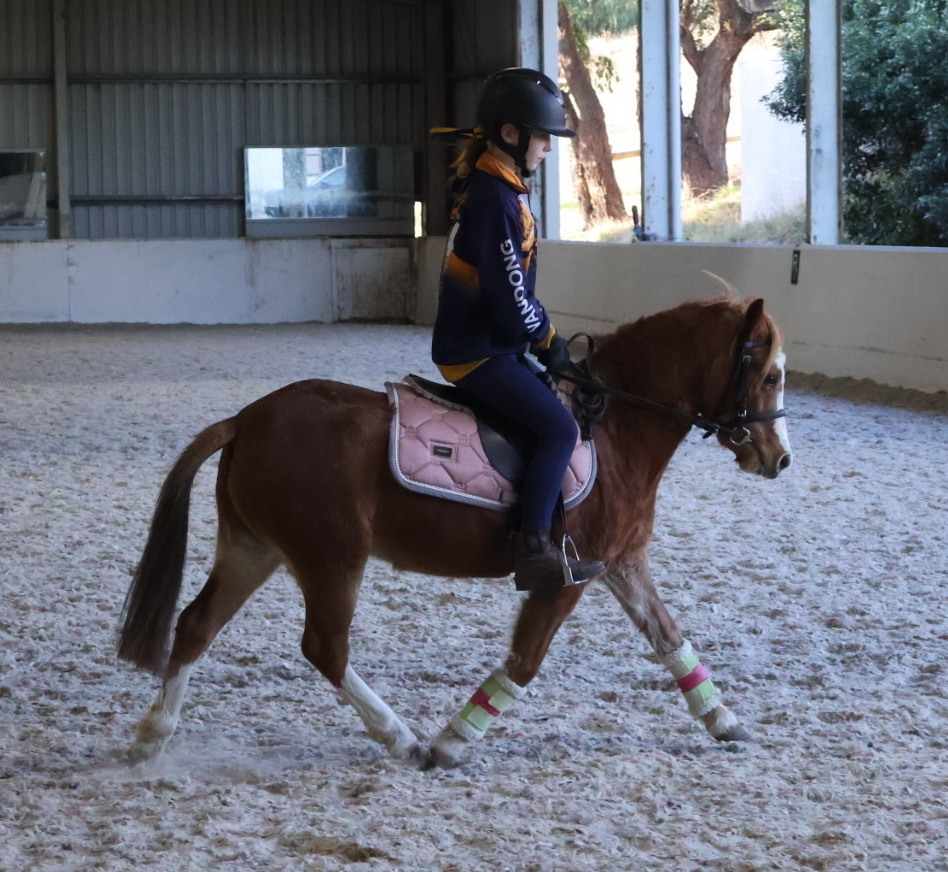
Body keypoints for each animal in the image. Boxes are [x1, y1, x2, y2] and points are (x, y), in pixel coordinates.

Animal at [117, 294, 792, 768]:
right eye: (771, 375)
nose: (780, 459)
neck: (617, 426)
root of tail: (246, 419)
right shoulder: (566, 577)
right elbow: (524, 663)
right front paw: (452, 743)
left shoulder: (622, 563)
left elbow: (669, 638)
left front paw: (724, 721)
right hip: (331, 556)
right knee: (324, 648)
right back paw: (404, 740)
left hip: (253, 549)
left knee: (197, 625)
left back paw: (152, 737)